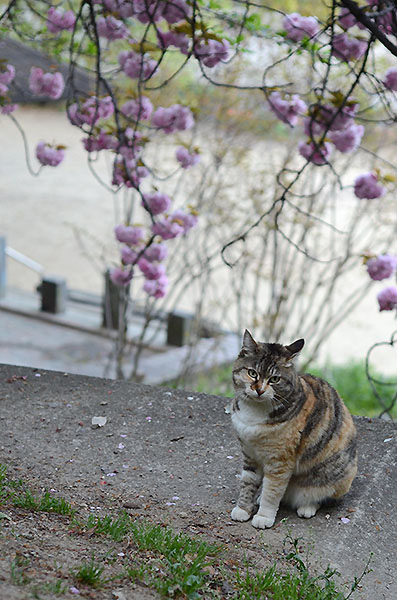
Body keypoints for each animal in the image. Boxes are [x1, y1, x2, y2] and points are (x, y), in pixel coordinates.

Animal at [229, 328, 356, 528]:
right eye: (252, 373)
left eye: (274, 379)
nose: (259, 390)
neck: (254, 412)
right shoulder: (250, 454)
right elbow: (248, 483)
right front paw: (243, 509)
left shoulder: (280, 462)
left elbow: (272, 492)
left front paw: (263, 517)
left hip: (335, 478)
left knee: (322, 497)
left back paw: (307, 506)